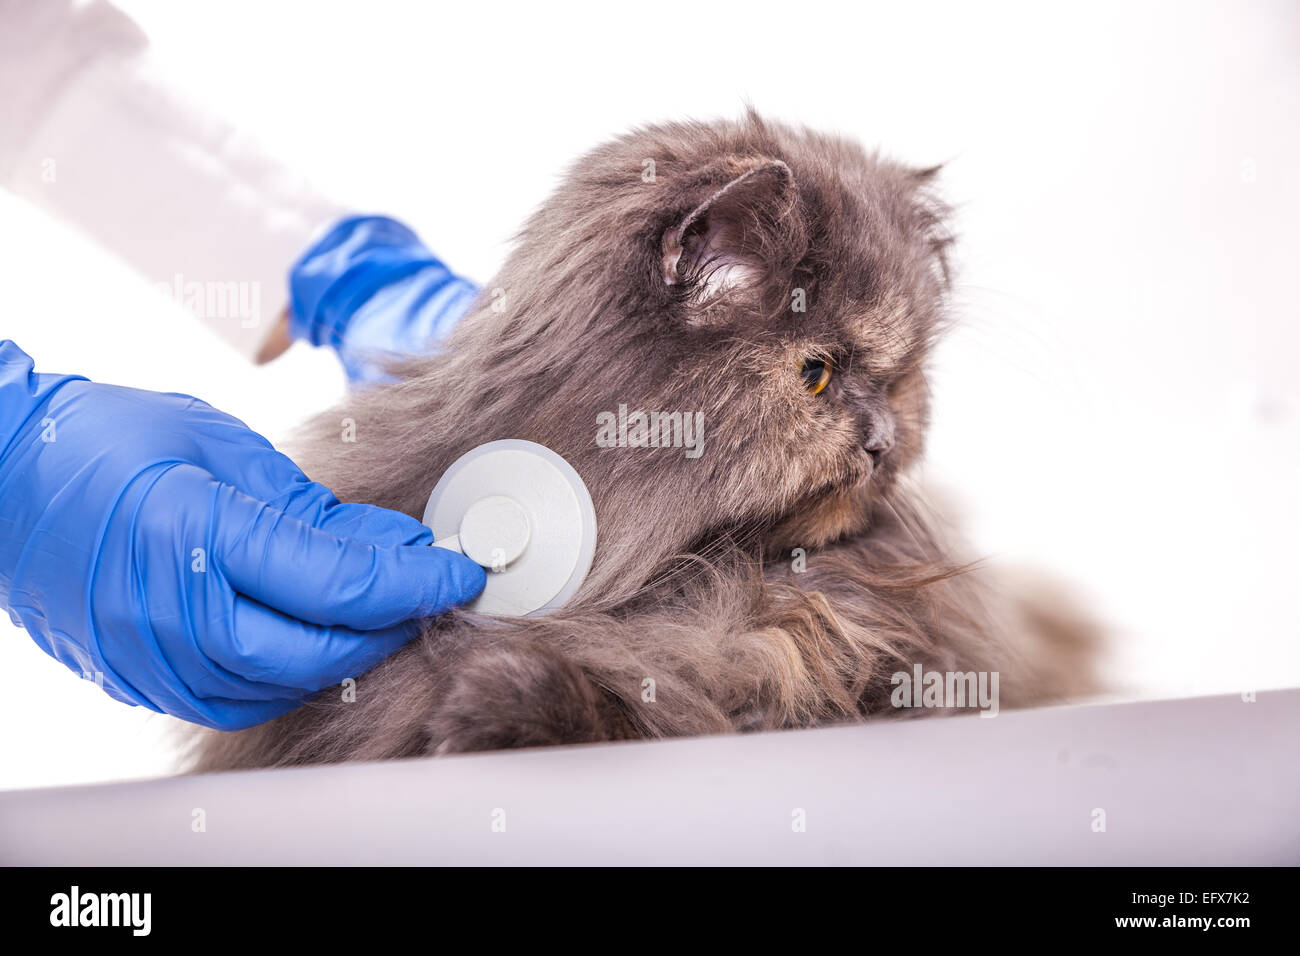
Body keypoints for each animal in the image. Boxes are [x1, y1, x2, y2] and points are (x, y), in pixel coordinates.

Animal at [192, 111, 1097, 770]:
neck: (695, 576)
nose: (881, 439)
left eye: (902, 379)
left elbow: (682, 695)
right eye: (816, 374)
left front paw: (503, 704)